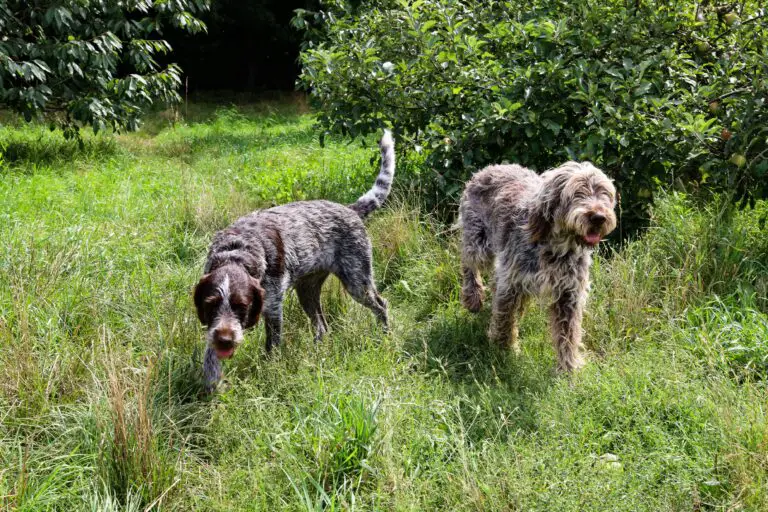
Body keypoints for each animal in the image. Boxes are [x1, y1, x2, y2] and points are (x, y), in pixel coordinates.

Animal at [195, 130, 392, 390]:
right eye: (210, 304)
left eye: (242, 306)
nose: (226, 341)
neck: (237, 252)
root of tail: (350, 209)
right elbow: (209, 350)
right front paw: (212, 377)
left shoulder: (272, 308)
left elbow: (272, 346)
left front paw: (269, 371)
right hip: (307, 291)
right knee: (322, 326)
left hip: (357, 282)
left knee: (381, 305)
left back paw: (386, 336)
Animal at [460, 162, 616, 370]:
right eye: (577, 193)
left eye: (604, 193)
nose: (598, 217)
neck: (557, 247)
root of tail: (489, 168)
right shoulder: (511, 283)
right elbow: (504, 318)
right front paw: (502, 349)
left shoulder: (569, 294)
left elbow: (568, 335)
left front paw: (568, 368)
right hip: (478, 243)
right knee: (467, 262)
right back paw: (473, 297)